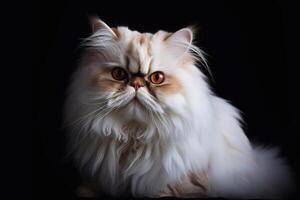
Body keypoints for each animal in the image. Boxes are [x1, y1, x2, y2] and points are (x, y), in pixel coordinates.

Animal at [63, 16, 292, 198]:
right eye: (119, 74)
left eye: (157, 78)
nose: (136, 84)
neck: (134, 137)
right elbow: (89, 190)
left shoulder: (188, 183)